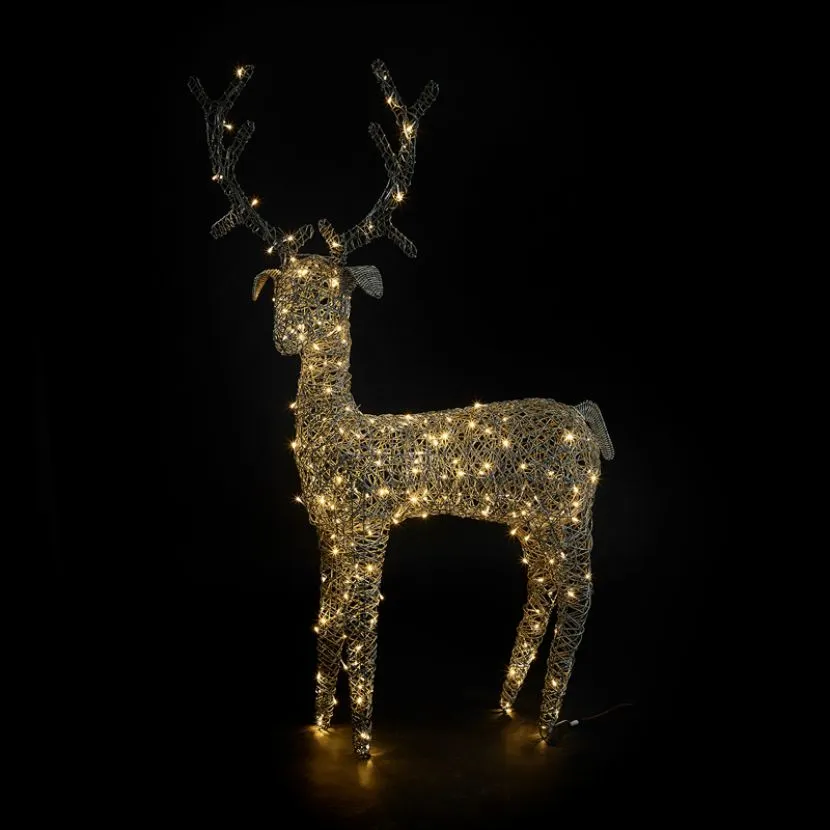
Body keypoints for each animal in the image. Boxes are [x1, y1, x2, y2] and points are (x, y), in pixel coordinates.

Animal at [189, 61, 614, 759]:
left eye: (330, 293)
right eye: (279, 292)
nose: (284, 334)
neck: (341, 434)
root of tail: (584, 417)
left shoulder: (368, 525)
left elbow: (362, 623)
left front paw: (363, 741)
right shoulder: (330, 531)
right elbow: (328, 621)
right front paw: (323, 722)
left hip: (573, 512)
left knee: (578, 592)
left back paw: (548, 724)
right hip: (532, 519)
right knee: (544, 584)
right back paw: (508, 703)